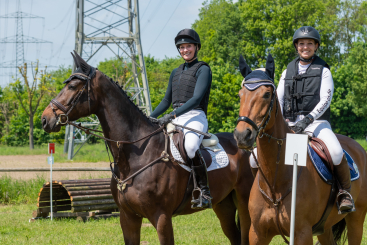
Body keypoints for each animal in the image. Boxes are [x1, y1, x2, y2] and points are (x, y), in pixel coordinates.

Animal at [40, 52, 253, 244]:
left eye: (72, 86)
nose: (45, 119)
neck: (136, 154)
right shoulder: (128, 217)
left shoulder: (161, 217)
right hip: (223, 204)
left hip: (244, 202)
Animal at [234, 54, 367, 244]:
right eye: (240, 95)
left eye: (267, 94)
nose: (242, 135)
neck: (275, 183)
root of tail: (358, 147)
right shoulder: (257, 233)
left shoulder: (302, 233)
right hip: (324, 228)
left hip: (356, 219)